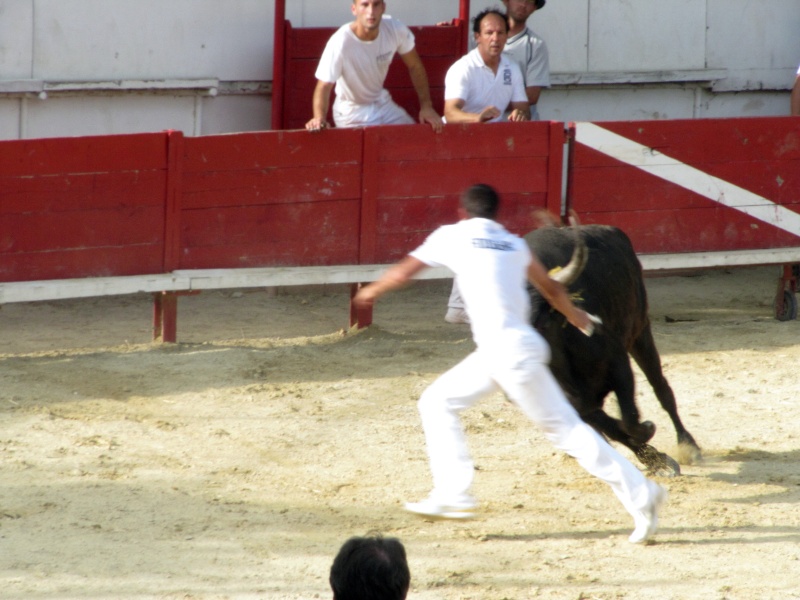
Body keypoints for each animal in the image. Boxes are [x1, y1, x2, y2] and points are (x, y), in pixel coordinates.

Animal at [528, 223, 704, 476]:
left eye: (543, 323)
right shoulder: (572, 404)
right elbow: (613, 428)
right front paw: (655, 459)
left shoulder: (618, 362)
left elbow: (629, 419)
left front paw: (650, 437)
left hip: (641, 331)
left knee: (662, 389)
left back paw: (688, 444)